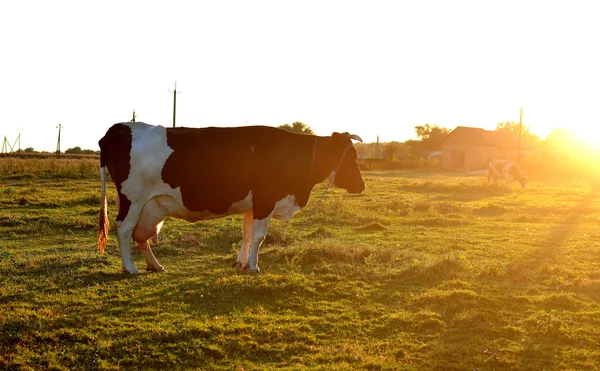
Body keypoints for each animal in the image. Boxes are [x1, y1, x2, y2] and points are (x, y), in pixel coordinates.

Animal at [97, 123, 366, 274]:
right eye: (351, 157)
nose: (361, 186)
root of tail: (117, 129)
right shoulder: (266, 201)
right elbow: (259, 236)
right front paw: (255, 267)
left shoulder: (252, 206)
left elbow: (246, 235)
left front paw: (241, 263)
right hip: (133, 199)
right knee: (124, 230)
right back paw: (130, 268)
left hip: (149, 206)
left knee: (141, 236)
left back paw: (155, 265)